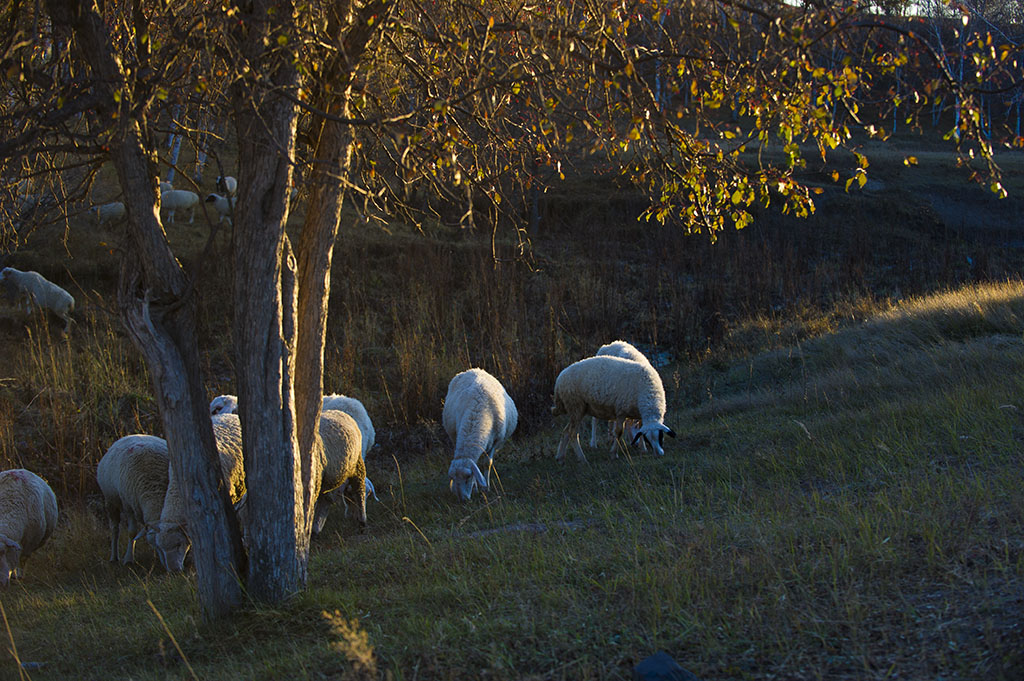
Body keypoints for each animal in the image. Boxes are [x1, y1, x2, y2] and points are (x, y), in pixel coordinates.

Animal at [442, 368, 516, 501]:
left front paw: (486, 488)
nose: (462, 499)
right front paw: (476, 488)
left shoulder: (496, 441)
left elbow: (487, 463)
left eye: (468, 476)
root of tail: (474, 369)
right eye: (453, 478)